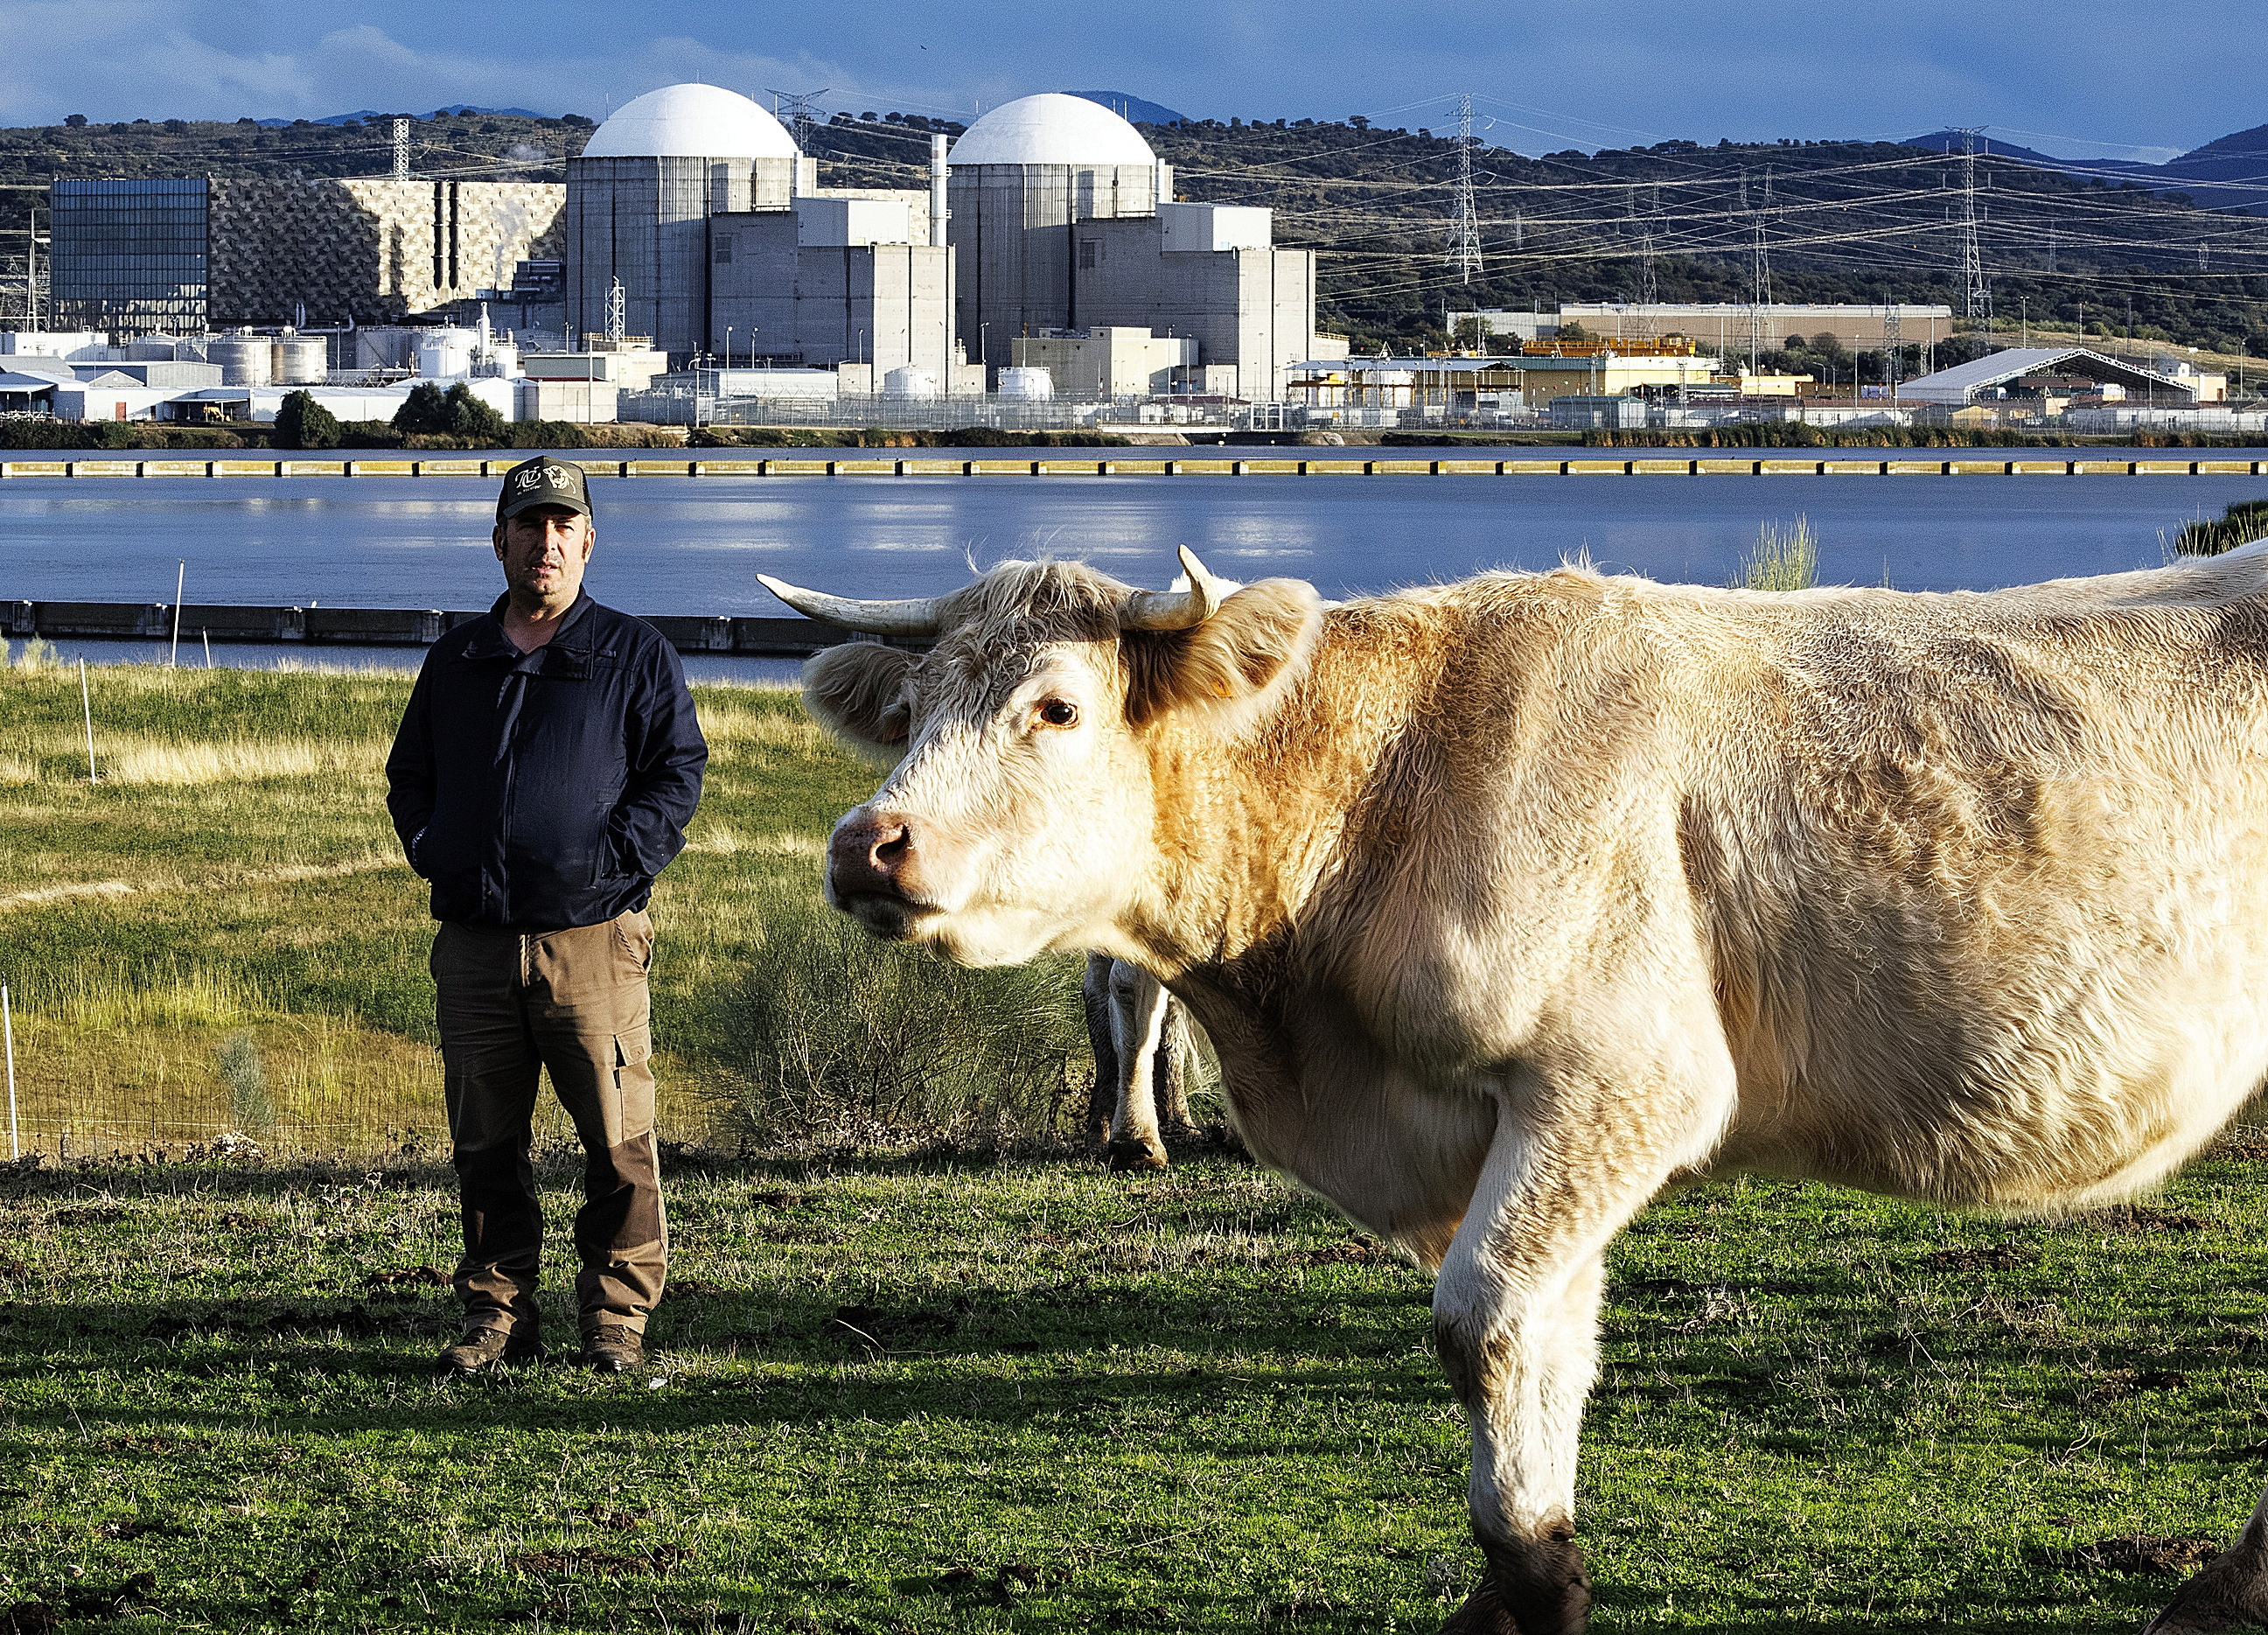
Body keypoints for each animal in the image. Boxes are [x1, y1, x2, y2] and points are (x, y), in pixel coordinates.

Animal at [760, 542, 2268, 1634]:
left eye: (1056, 706)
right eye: (911, 710)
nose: (864, 843)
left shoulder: (1620, 1084)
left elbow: (1481, 1321)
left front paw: (1538, 1586)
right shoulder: (1523, 1126)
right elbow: (1545, 1343)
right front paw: (1526, 1560)